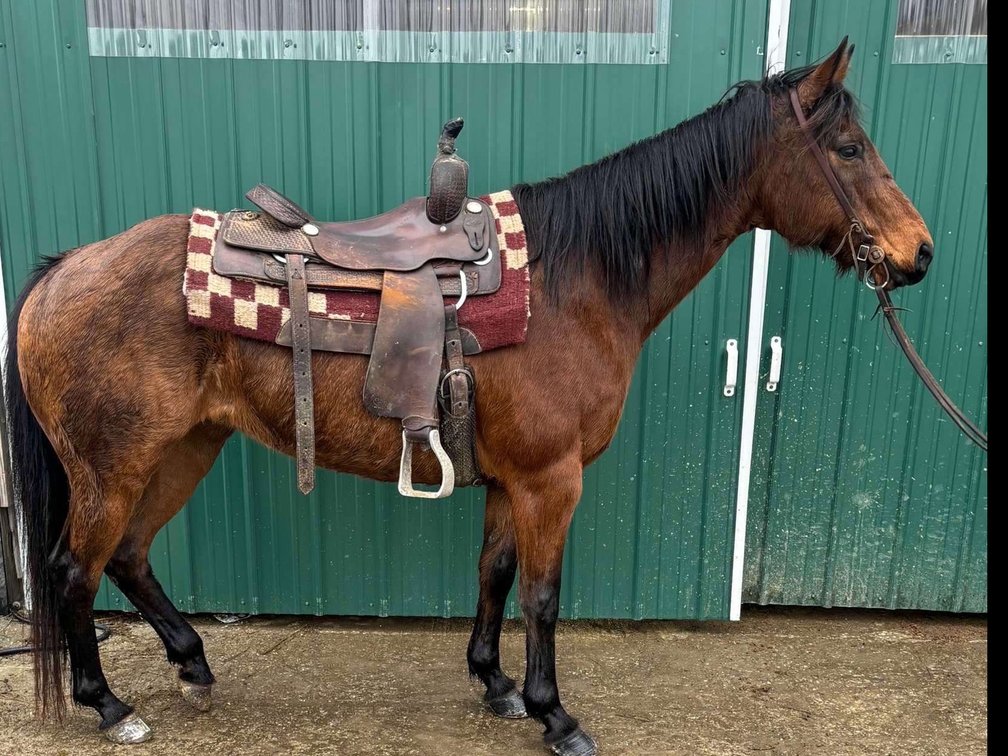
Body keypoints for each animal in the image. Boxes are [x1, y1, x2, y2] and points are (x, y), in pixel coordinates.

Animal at [6, 40, 933, 754]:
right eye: (848, 147)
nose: (918, 252)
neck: (573, 280)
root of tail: (63, 271)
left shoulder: (512, 479)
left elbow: (494, 572)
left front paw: (495, 685)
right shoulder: (552, 479)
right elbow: (543, 595)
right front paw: (556, 714)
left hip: (186, 447)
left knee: (127, 557)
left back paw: (192, 661)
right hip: (113, 467)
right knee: (72, 569)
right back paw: (108, 704)